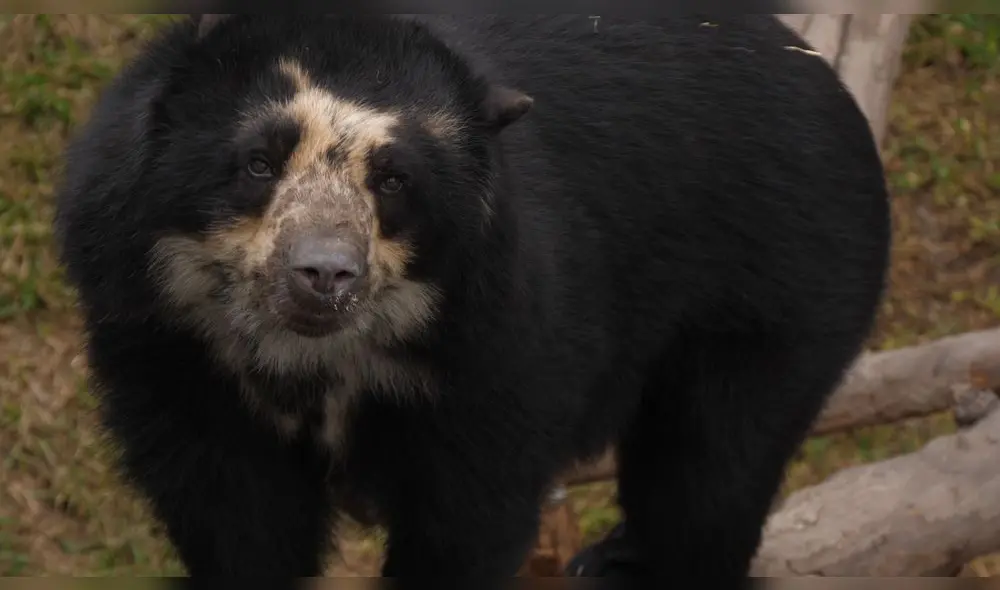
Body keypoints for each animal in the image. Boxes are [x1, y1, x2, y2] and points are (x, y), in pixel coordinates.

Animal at [53, 14, 891, 585]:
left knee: (712, 460)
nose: (324, 274)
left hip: (782, 283)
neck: (314, 355)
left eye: (394, 180)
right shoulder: (166, 344)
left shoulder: (499, 337)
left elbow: (468, 511)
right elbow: (230, 510)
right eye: (259, 162)